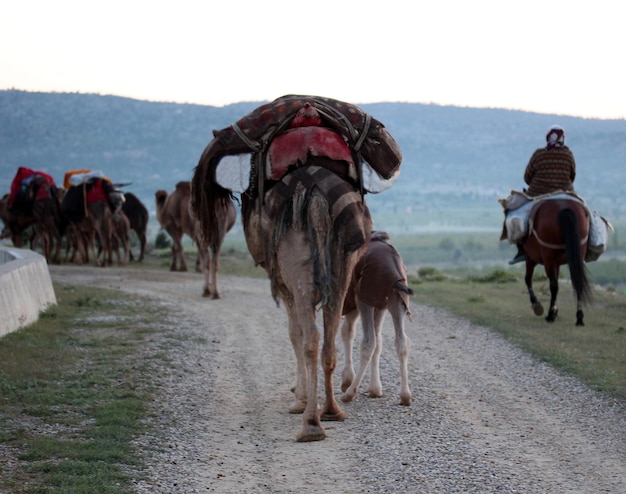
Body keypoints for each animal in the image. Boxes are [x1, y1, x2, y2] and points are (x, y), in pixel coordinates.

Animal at [338, 231, 412, 406]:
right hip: (396, 300)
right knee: (401, 341)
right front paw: (375, 389)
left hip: (365, 298)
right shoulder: (378, 305)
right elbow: (377, 341)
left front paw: (347, 381)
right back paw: (405, 395)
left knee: (368, 342)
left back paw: (350, 393)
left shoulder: (355, 301)